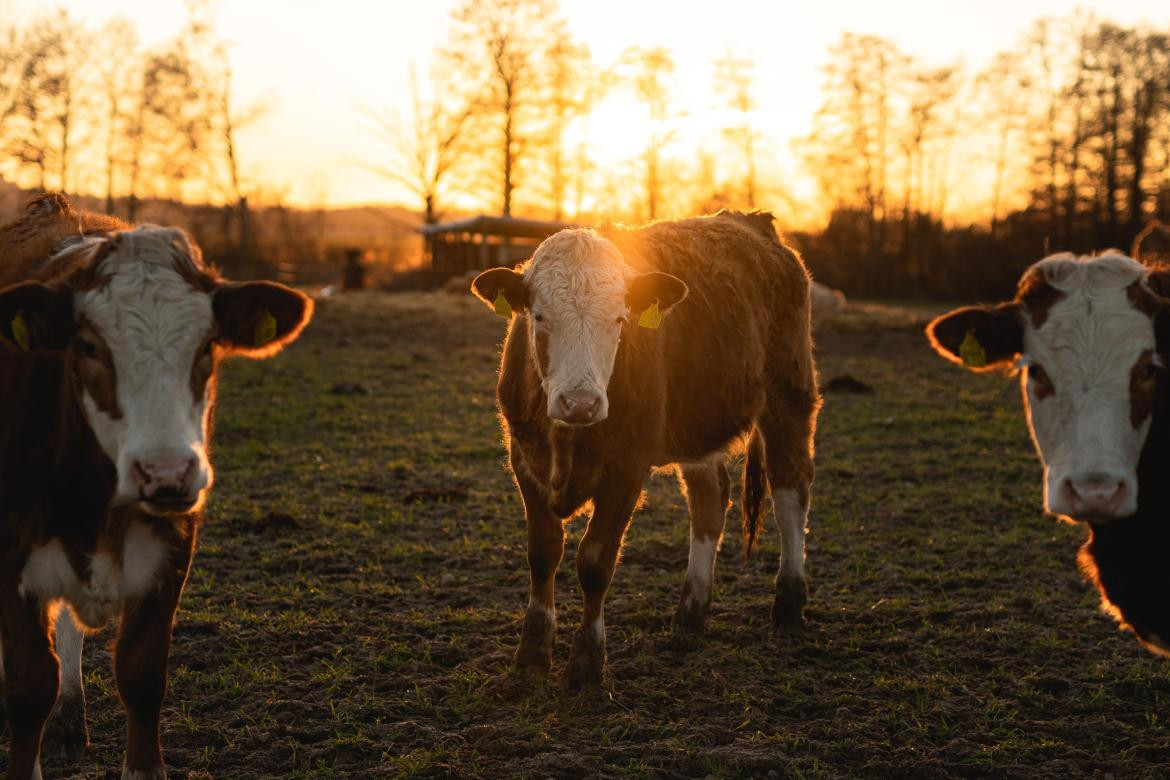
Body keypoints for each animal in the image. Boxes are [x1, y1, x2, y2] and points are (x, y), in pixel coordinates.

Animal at [0, 191, 313, 776]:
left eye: (208, 346)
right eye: (88, 346)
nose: (166, 472)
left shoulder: (171, 555)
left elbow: (141, 678)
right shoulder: (13, 563)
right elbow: (29, 687)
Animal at [470, 210, 819, 687]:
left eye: (620, 319)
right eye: (538, 317)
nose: (580, 402)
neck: (566, 438)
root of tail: (753, 223)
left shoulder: (626, 469)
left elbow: (595, 561)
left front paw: (586, 663)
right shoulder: (525, 460)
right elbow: (543, 554)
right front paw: (533, 654)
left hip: (789, 393)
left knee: (790, 494)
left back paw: (788, 605)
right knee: (710, 501)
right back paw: (690, 614)